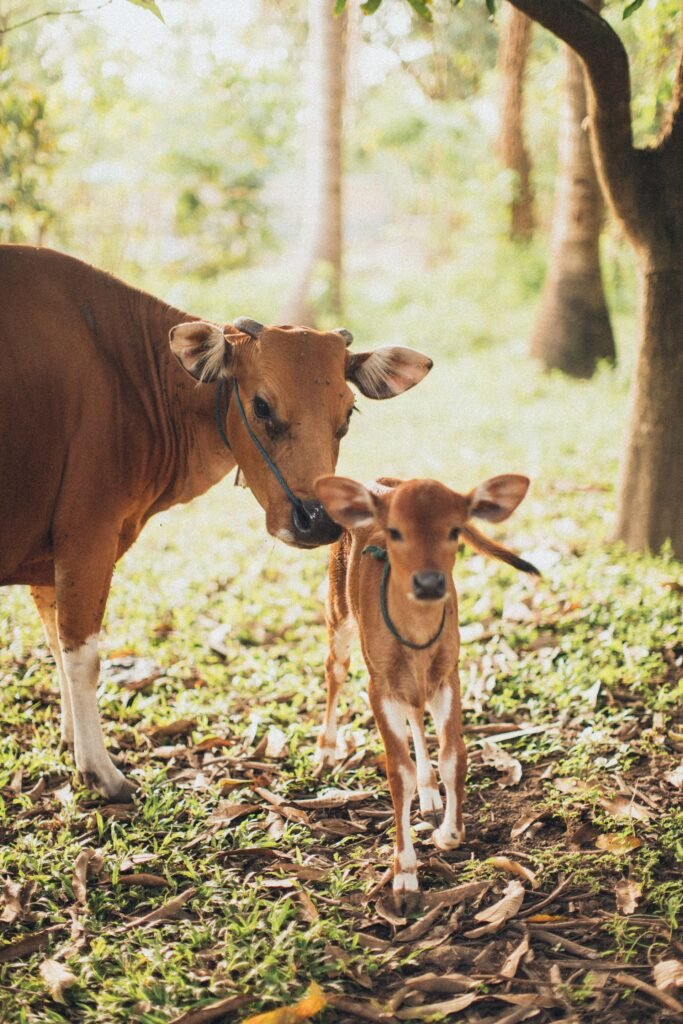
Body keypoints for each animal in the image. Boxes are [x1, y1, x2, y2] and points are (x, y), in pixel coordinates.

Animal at [0, 245, 432, 801]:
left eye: (349, 413)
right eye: (262, 406)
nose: (316, 521)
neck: (132, 378)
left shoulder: (50, 556)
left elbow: (56, 644)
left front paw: (73, 740)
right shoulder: (86, 536)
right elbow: (82, 655)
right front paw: (100, 770)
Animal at [313, 473, 539, 906]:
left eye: (454, 530)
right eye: (395, 531)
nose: (430, 583)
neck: (416, 638)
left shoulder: (448, 674)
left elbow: (455, 756)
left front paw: (449, 834)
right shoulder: (379, 685)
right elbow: (396, 772)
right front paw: (404, 875)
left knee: (416, 713)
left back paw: (431, 794)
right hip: (337, 610)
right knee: (335, 669)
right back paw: (327, 749)